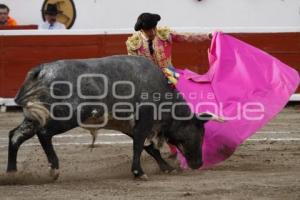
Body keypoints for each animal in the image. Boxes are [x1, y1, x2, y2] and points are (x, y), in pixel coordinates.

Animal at [6, 55, 213, 180]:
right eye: (200, 134)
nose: (199, 163)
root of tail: (41, 70)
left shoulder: (130, 126)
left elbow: (149, 148)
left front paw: (167, 167)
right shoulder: (143, 123)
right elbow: (139, 146)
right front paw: (139, 173)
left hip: (34, 117)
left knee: (15, 136)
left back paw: (11, 173)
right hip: (67, 116)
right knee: (43, 133)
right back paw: (54, 169)